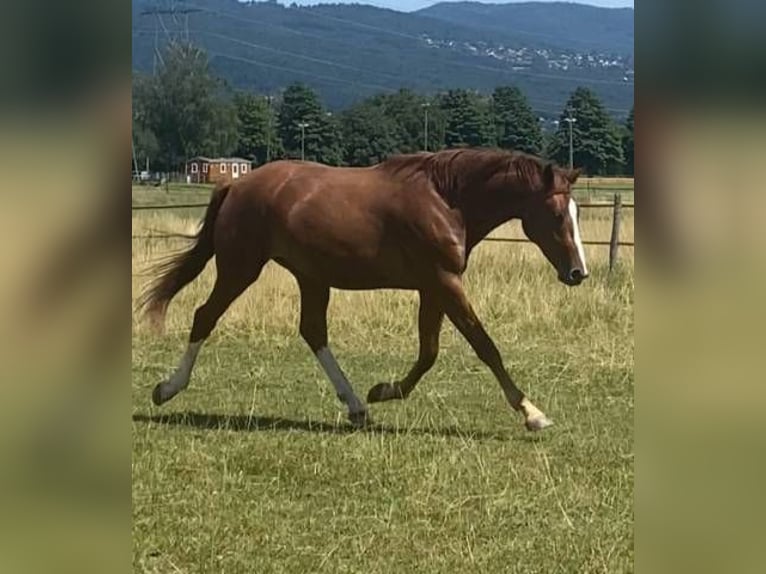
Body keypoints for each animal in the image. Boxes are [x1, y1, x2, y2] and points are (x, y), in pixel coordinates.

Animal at [141, 148, 588, 432]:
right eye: (554, 213)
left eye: (577, 211)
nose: (578, 272)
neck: (447, 200)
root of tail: (236, 186)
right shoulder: (444, 281)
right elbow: (484, 345)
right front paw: (532, 413)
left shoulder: (433, 287)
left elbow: (428, 352)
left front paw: (382, 391)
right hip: (240, 268)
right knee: (204, 316)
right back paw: (167, 389)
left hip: (311, 277)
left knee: (313, 332)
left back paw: (357, 406)